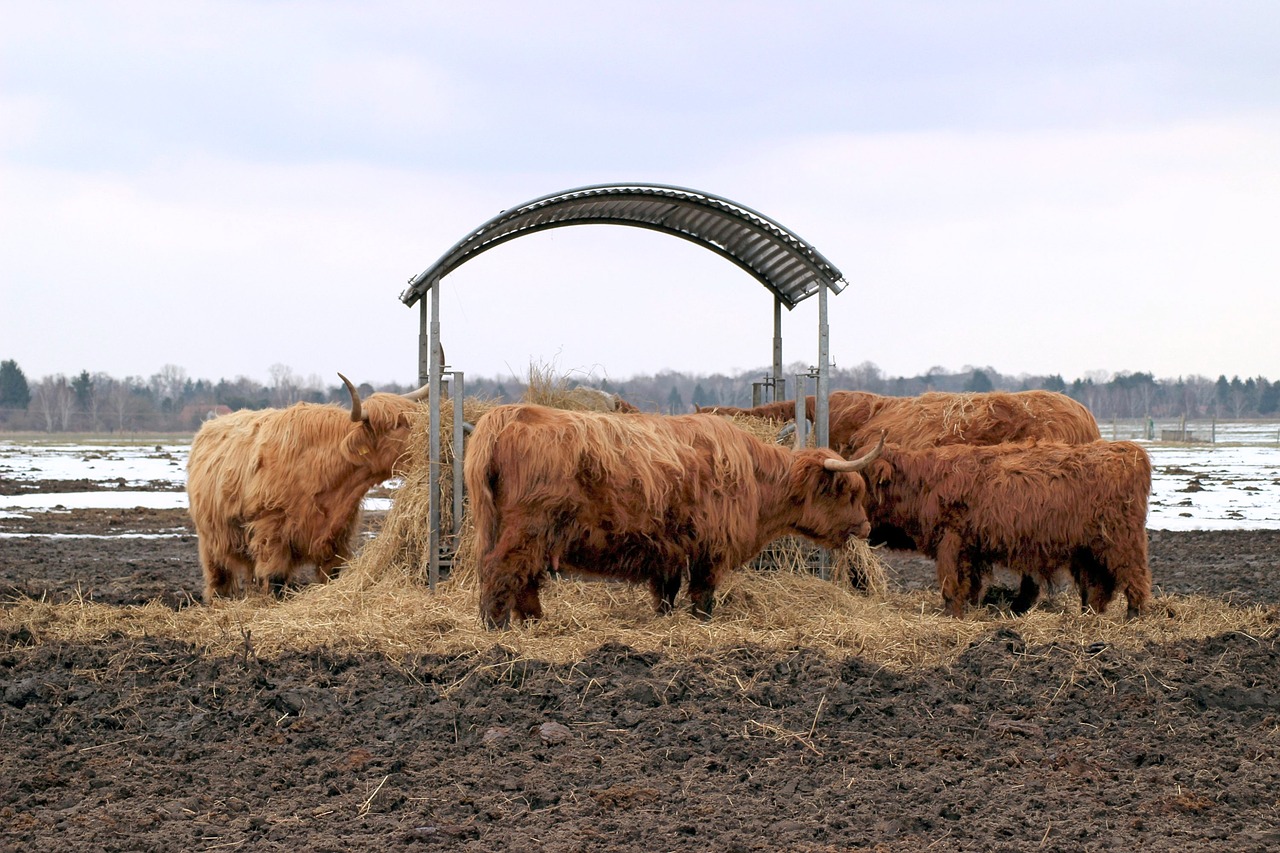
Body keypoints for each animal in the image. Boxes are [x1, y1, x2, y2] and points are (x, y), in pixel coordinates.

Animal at [186, 371, 424, 596]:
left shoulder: (338, 535)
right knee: (218, 576)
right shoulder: (271, 532)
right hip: (210, 537)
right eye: (397, 425)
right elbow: (275, 580)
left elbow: (332, 575)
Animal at [465, 402, 885, 627]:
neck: (756, 480)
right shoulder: (709, 550)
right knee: (502, 571)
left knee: (524, 580)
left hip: (525, 533)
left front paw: (664, 620)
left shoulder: (667, 550)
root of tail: (507, 415)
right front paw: (701, 623)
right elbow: (703, 596)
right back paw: (497, 627)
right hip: (527, 529)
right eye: (849, 492)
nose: (866, 527)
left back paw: (534, 623)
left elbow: (666, 594)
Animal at [860, 438, 1152, 617]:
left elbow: (950, 584)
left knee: (1135, 575)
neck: (923, 483)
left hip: (1121, 539)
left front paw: (952, 615)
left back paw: (1133, 616)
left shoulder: (951, 540)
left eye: (861, 479)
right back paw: (1090, 616)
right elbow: (969, 584)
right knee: (1098, 586)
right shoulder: (970, 548)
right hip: (1090, 548)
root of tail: (1131, 451)